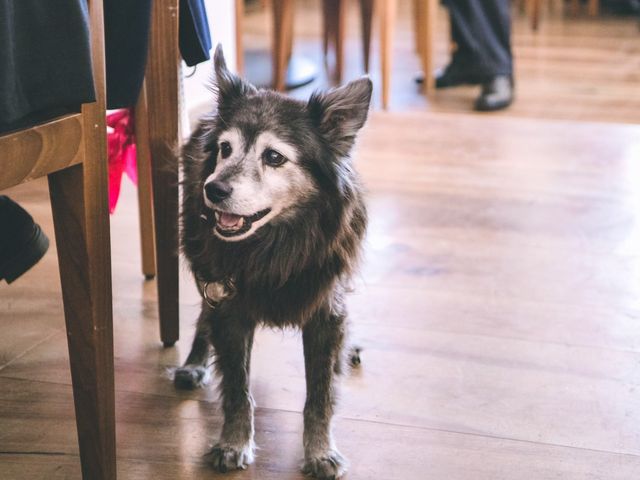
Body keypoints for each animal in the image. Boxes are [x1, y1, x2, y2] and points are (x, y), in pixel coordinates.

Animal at [175, 46, 372, 480]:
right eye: (225, 149)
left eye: (274, 157)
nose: (213, 189)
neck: (277, 242)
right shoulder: (227, 303)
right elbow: (237, 389)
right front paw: (233, 443)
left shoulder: (325, 313)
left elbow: (319, 396)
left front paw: (320, 453)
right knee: (203, 316)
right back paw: (194, 362)